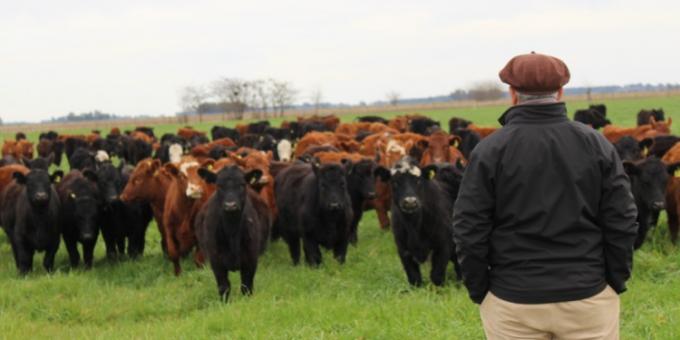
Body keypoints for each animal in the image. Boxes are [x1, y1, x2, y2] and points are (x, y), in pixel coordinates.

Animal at [194, 165, 270, 300]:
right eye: (219, 185)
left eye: (241, 185)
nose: (230, 205)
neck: (232, 232)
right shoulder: (216, 261)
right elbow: (224, 287)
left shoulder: (251, 259)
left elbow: (246, 286)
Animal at [374, 157, 460, 286]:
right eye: (394, 182)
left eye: (418, 181)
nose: (410, 202)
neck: (414, 226)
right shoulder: (403, 249)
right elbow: (414, 277)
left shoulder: (443, 245)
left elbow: (437, 275)